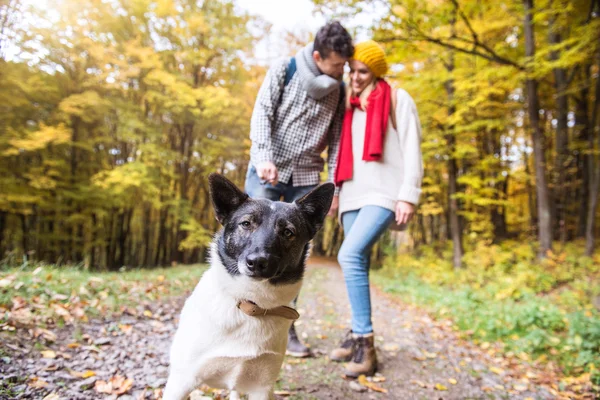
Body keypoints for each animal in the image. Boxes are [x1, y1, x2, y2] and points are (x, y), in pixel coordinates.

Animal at [162, 173, 336, 400]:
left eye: (288, 232)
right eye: (246, 223)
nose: (258, 262)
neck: (252, 304)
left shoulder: (261, 388)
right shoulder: (181, 381)